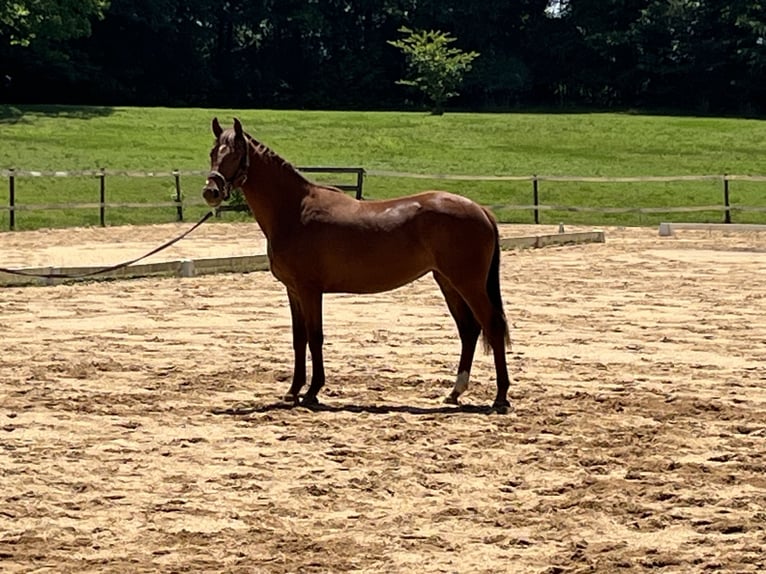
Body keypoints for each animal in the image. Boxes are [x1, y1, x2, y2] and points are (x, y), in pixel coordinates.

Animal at [204, 118, 512, 414]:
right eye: (213, 152)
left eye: (235, 153)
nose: (211, 191)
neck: (294, 210)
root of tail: (480, 210)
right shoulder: (293, 291)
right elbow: (298, 339)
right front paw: (293, 391)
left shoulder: (309, 290)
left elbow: (315, 337)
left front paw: (312, 392)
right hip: (447, 282)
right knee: (468, 330)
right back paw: (455, 392)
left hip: (468, 284)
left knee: (492, 325)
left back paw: (500, 397)